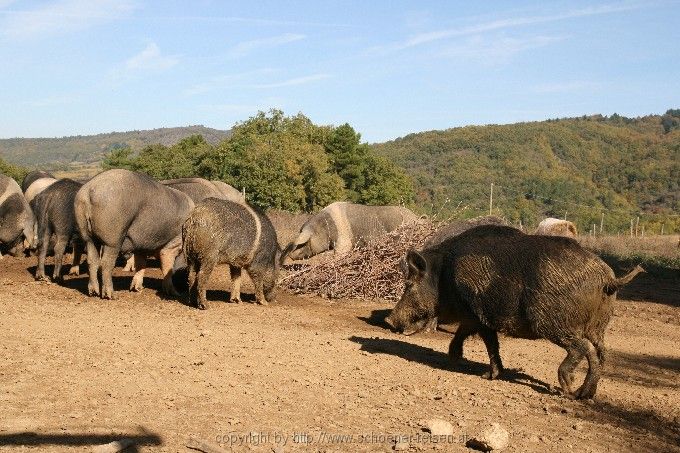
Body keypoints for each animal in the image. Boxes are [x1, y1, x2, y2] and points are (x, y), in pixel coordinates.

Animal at [74, 168, 194, 298]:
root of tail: (88, 191)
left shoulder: (142, 245)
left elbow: (141, 264)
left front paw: (137, 289)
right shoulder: (173, 243)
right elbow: (167, 266)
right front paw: (175, 293)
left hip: (87, 236)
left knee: (92, 260)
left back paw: (93, 292)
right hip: (113, 238)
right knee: (106, 263)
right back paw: (111, 295)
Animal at [388, 224, 644, 398]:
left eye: (409, 285)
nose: (390, 319)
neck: (445, 277)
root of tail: (608, 278)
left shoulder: (479, 314)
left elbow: (488, 342)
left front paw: (484, 375)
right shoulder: (474, 317)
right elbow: (472, 338)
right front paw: (459, 361)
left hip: (551, 321)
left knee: (583, 348)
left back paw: (567, 388)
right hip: (599, 325)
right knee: (602, 353)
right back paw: (585, 395)